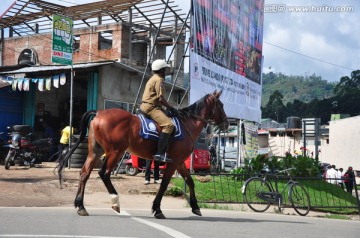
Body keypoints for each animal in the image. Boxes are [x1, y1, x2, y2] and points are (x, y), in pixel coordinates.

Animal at [57, 90, 229, 218]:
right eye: (220, 105)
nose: (227, 123)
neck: (188, 124)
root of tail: (99, 113)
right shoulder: (173, 163)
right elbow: (164, 184)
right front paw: (157, 209)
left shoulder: (179, 162)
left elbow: (190, 181)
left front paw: (195, 207)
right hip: (116, 152)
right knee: (104, 173)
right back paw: (115, 201)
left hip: (96, 152)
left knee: (84, 173)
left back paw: (81, 205)